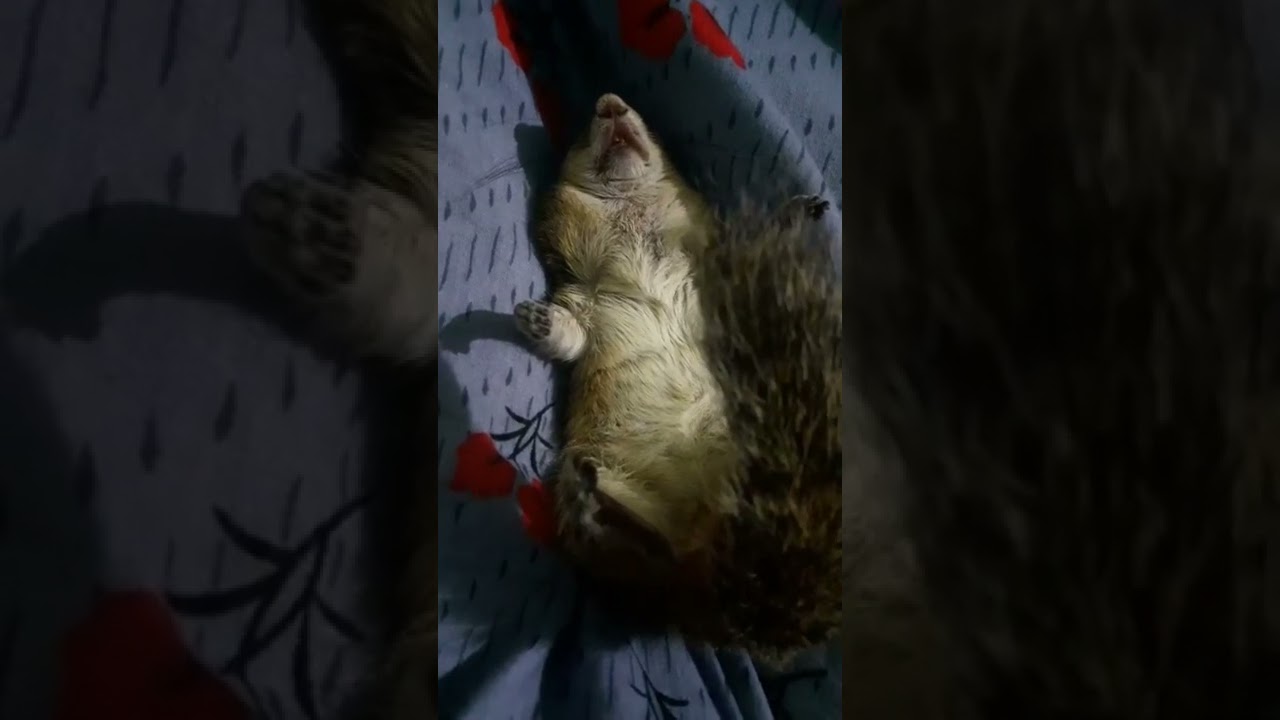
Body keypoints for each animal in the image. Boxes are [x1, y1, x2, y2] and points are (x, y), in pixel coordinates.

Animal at [517, 93, 842, 665]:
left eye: (651, 127)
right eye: (579, 135)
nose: (610, 102)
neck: (636, 230)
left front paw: (796, 211)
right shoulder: (581, 297)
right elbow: (572, 335)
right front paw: (538, 320)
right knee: (648, 568)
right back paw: (592, 504)